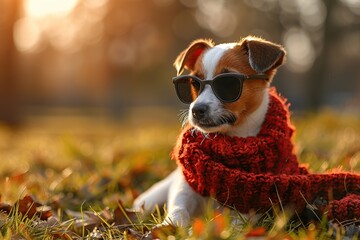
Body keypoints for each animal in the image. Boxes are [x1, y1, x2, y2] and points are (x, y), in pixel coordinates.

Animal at [132, 35, 286, 227]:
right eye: (193, 83)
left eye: (228, 84)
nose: (196, 110)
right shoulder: (185, 187)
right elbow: (179, 207)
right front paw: (170, 226)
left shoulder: (252, 207)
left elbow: (235, 221)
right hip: (152, 198)